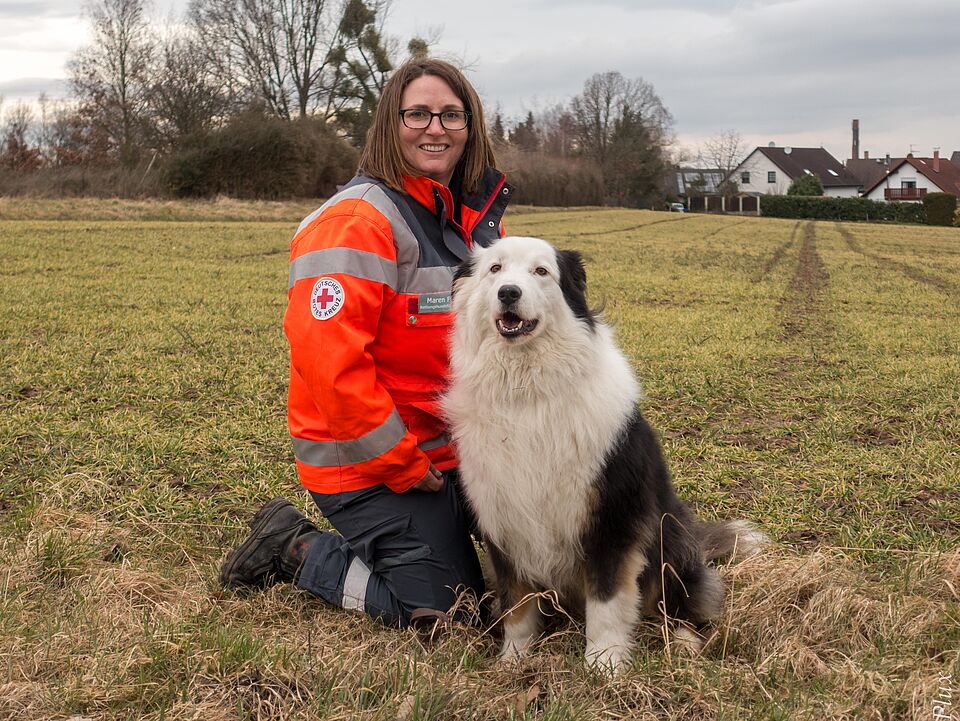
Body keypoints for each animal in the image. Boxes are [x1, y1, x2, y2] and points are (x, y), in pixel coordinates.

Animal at [442, 238, 764, 676]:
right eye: (495, 269)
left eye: (541, 271)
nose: (508, 293)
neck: (527, 393)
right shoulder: (504, 520)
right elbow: (516, 605)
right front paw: (514, 659)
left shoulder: (613, 518)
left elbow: (608, 600)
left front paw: (604, 663)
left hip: (670, 538)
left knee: (685, 604)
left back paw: (684, 647)